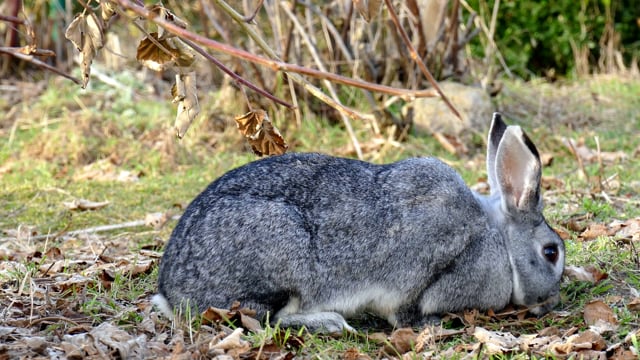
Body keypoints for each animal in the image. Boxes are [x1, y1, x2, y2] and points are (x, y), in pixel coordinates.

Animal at [155, 114, 564, 334]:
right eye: (551, 252)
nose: (551, 302)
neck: (496, 238)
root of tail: (171, 292)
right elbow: (407, 310)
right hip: (282, 254)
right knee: (269, 317)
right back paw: (332, 323)